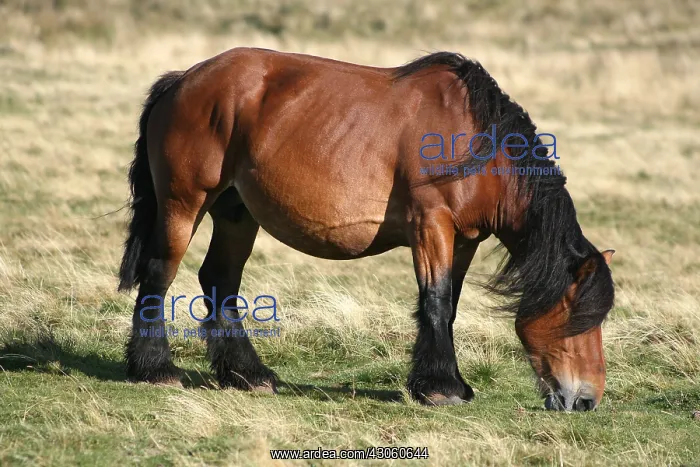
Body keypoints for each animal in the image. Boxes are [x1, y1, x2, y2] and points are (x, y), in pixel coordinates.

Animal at [117, 48, 615, 411]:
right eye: (579, 316)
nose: (585, 400)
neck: (476, 139)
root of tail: (183, 80)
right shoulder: (430, 224)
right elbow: (434, 301)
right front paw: (441, 388)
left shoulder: (465, 240)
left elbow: (449, 305)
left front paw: (445, 382)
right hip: (184, 203)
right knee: (160, 275)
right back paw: (155, 369)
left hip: (237, 215)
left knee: (220, 281)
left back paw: (248, 376)